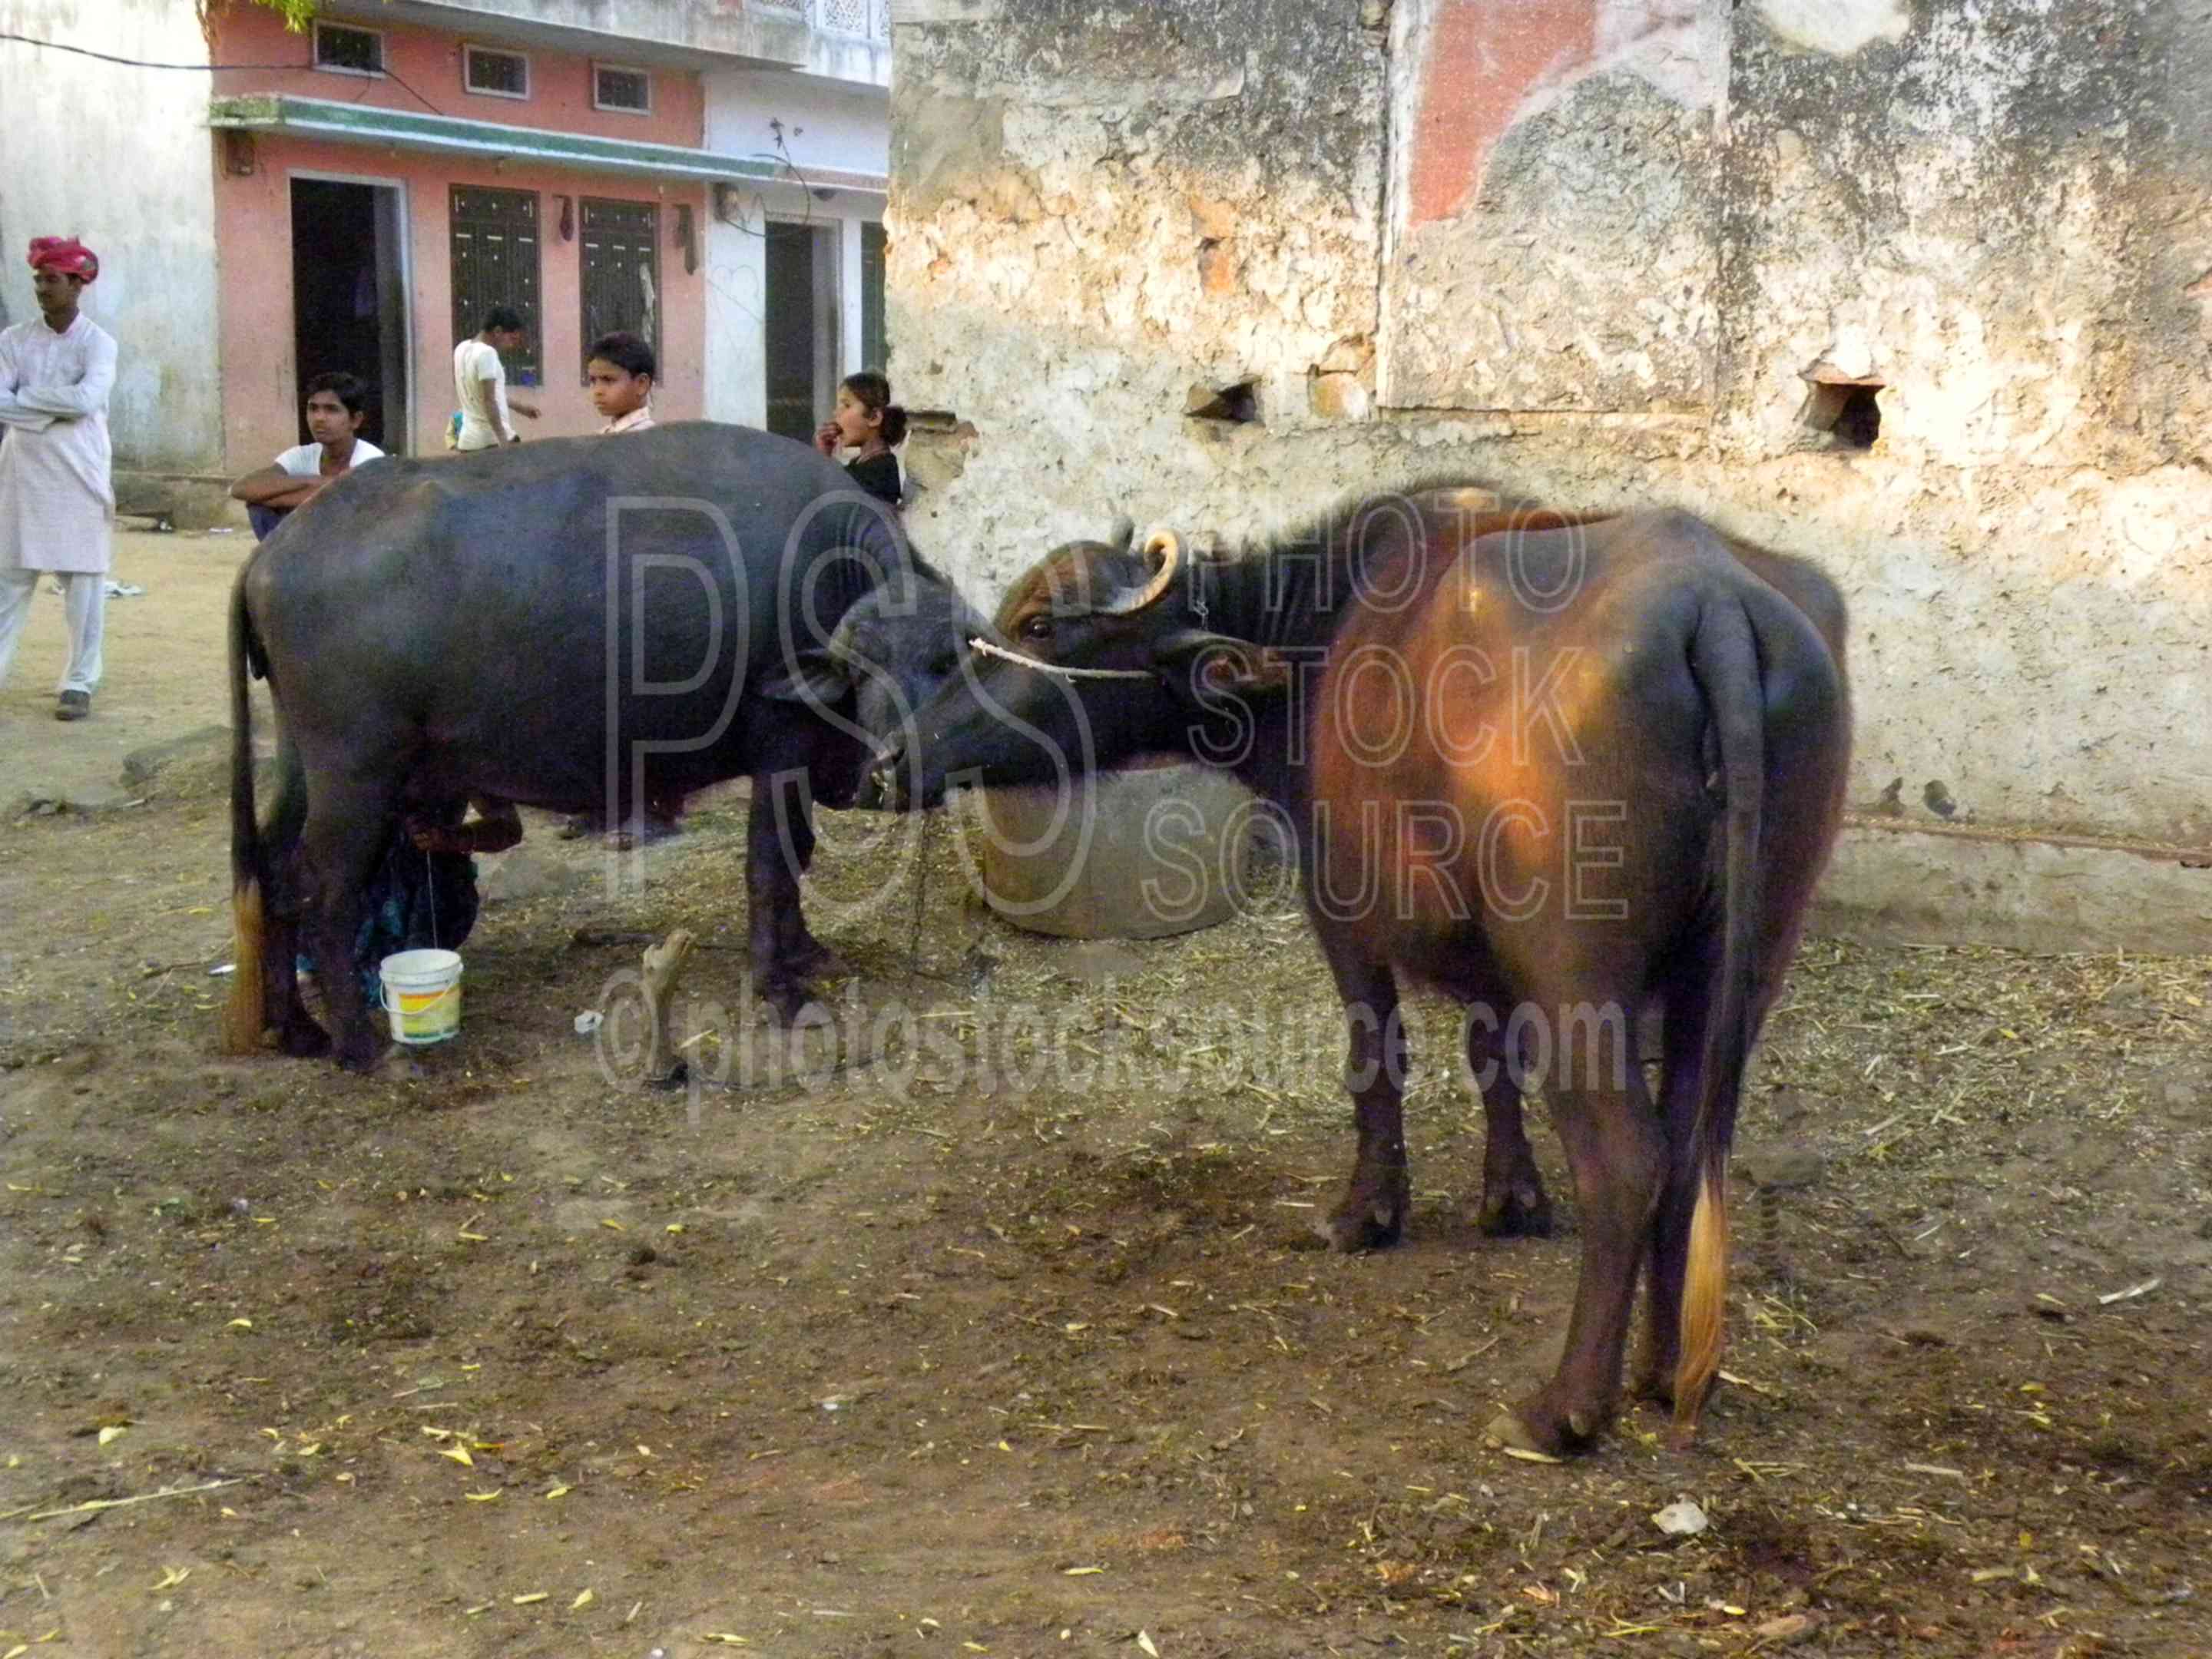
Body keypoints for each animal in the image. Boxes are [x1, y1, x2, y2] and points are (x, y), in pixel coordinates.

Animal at [223, 422, 982, 1071]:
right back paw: (359, 1045)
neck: (826, 576)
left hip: (305, 764)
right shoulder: (781, 751)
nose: (906, 762)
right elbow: (773, 865)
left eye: (949, 661)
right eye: (863, 667)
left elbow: (799, 858)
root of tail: (271, 555)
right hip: (358, 775)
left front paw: (805, 953)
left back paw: (297, 1027)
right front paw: (780, 986)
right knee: (327, 887)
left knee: (274, 871)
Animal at [876, 490, 1851, 1457]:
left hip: (1576, 973)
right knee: (1693, 1145)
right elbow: (1489, 1052)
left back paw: (1565, 1410)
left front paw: (1365, 1215)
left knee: (1626, 1161)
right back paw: (1663, 1372)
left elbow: (1375, 1061)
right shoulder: (1484, 944)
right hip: (1738, 965)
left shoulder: (1341, 905)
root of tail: (1713, 600)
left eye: (1039, 624)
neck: (1317, 642)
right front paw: (1511, 1199)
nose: (891, 758)